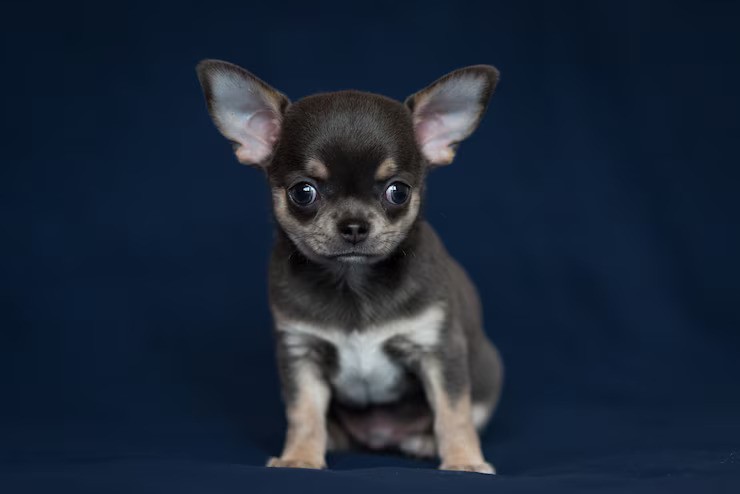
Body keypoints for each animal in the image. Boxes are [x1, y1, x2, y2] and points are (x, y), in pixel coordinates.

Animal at [197, 59, 506, 472]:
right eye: (303, 192)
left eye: (398, 192)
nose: (355, 225)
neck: (353, 281)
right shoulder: (301, 353)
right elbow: (304, 412)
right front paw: (300, 457)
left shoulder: (439, 351)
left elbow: (453, 411)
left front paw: (464, 462)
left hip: (487, 372)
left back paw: (425, 442)